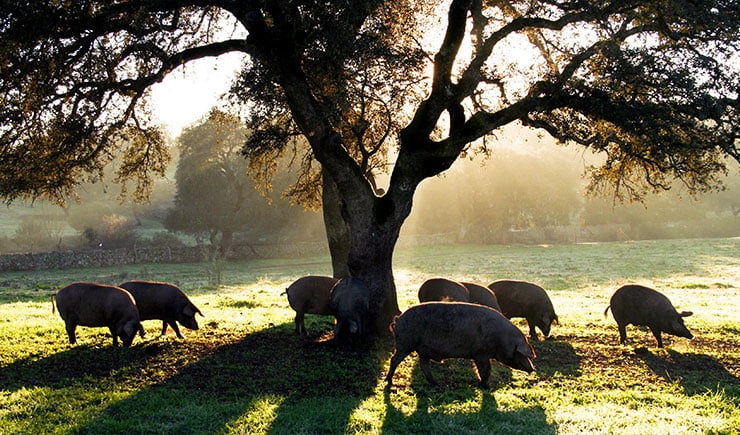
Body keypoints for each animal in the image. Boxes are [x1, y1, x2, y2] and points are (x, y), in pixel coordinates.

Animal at [384, 304, 536, 388]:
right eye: (522, 353)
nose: (533, 369)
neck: (502, 339)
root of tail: (398, 319)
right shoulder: (480, 354)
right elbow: (485, 370)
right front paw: (485, 386)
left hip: (421, 350)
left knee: (424, 366)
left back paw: (436, 384)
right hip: (405, 343)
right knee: (394, 360)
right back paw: (389, 382)